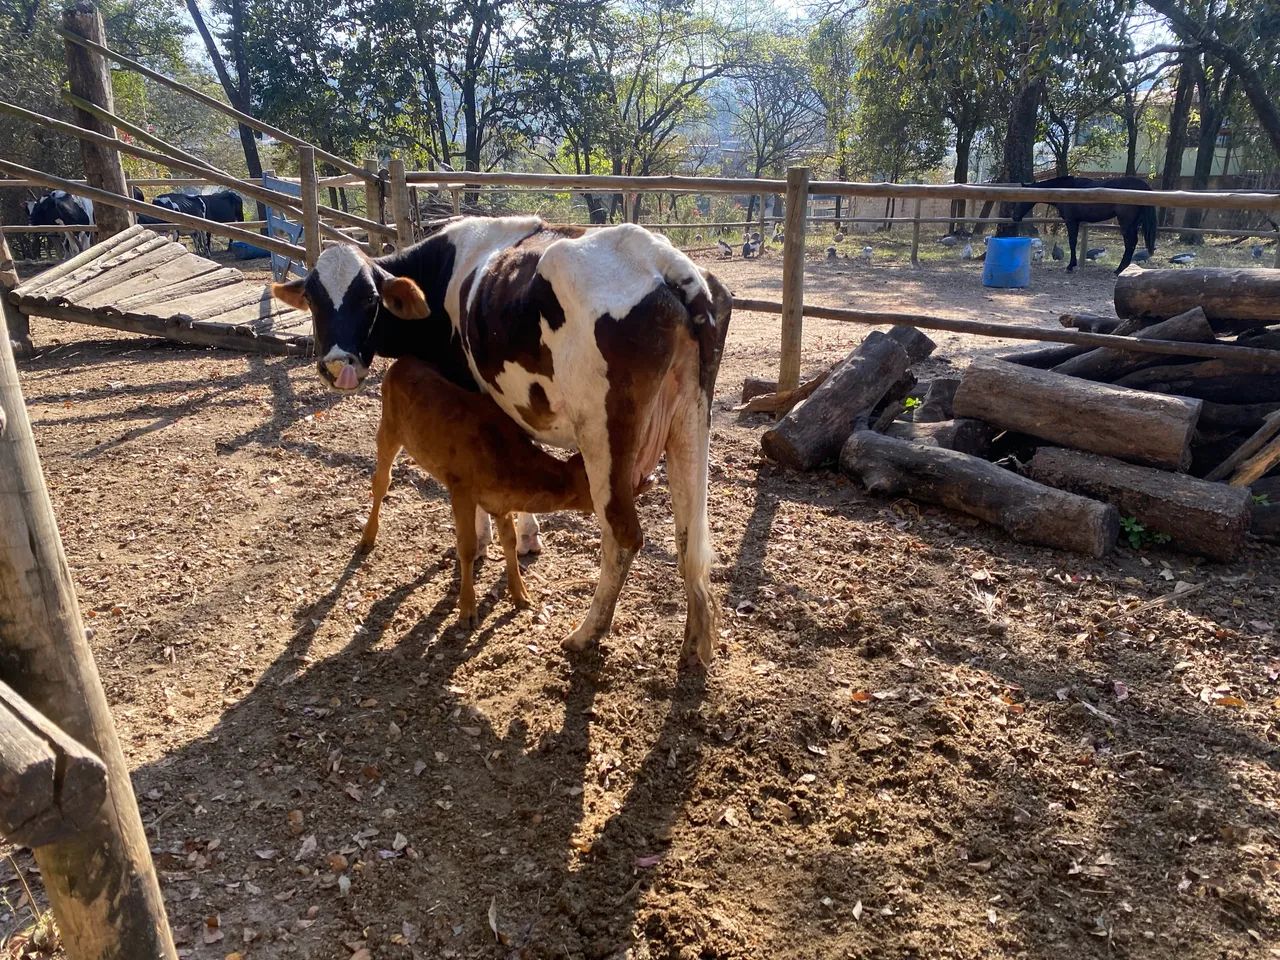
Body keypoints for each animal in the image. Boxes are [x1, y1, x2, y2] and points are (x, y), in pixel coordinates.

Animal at [271, 217, 732, 666]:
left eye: (370, 300)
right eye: (313, 299)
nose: (337, 366)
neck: (441, 270)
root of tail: (662, 259)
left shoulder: (467, 388)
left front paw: (480, 543)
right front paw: (526, 538)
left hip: (604, 432)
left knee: (623, 534)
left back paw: (585, 634)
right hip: (690, 418)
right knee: (690, 537)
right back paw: (695, 645)